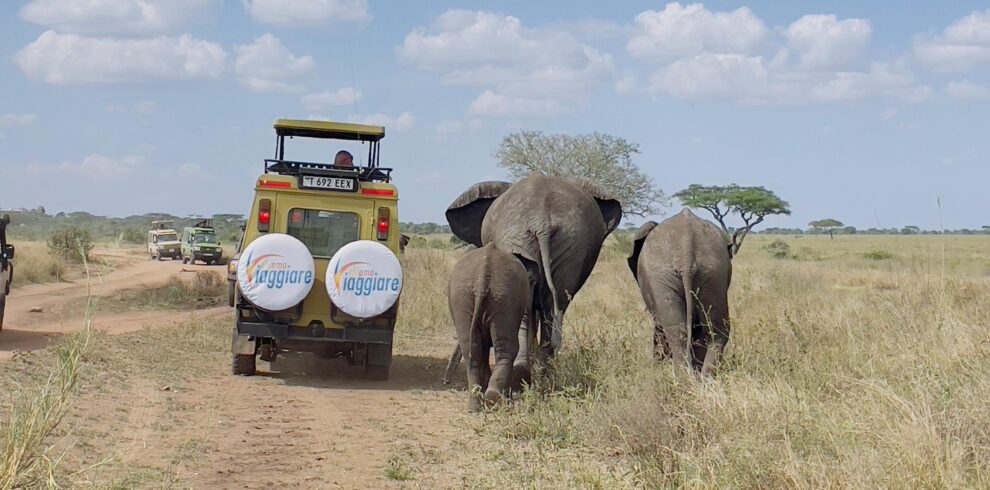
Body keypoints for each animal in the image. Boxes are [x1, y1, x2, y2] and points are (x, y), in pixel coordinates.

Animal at [444, 174, 622, 383]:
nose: (446, 380)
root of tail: (541, 221)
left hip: (525, 238)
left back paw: (527, 372)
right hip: (572, 244)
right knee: (553, 305)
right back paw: (541, 371)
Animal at [448, 244, 533, 411]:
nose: (445, 381)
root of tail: (482, 275)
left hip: (464, 297)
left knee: (471, 349)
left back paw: (476, 406)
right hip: (504, 298)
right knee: (507, 348)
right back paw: (495, 399)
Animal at [628, 209, 732, 375]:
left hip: (661, 274)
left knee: (674, 330)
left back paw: (685, 377)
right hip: (714, 272)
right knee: (715, 329)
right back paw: (704, 377)